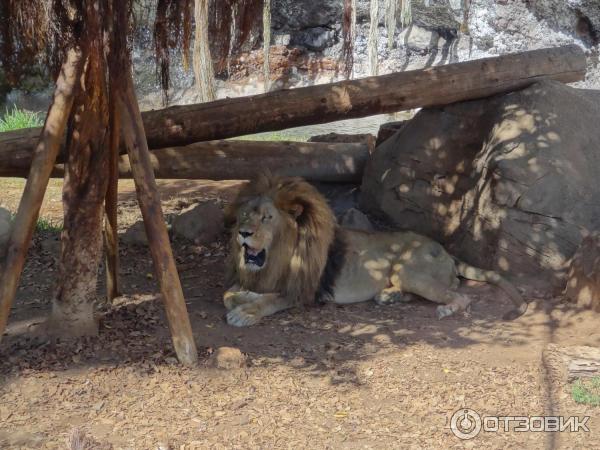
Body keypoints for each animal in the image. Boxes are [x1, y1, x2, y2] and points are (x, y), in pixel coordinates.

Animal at [223, 174, 528, 326]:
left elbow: (269, 300)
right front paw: (241, 298)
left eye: (267, 218)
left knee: (463, 297)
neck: (277, 255)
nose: (243, 233)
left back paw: (445, 310)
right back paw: (389, 296)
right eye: (244, 216)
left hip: (408, 269)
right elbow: (230, 294)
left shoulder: (302, 291)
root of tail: (446, 252)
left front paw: (244, 313)